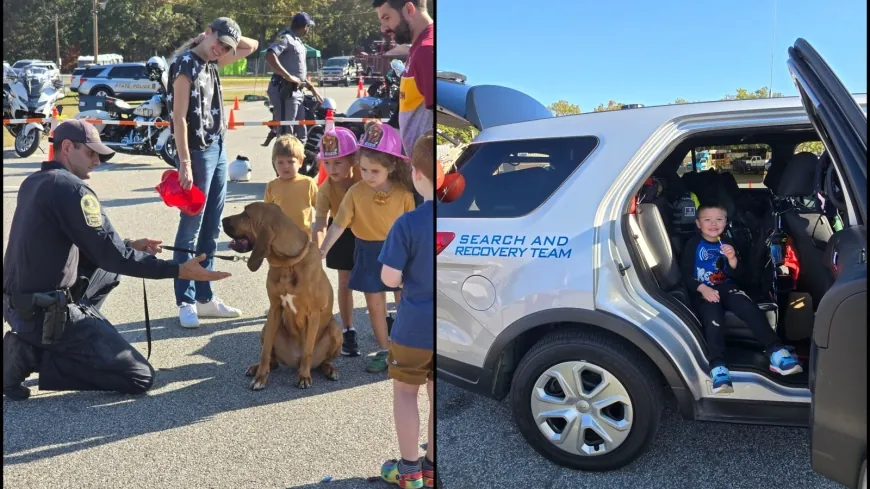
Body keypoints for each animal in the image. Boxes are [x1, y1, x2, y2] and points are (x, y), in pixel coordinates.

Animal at [223, 202, 342, 388]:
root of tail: (294, 361)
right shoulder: (274, 309)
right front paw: (261, 377)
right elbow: (265, 351)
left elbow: (308, 350)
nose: (222, 220)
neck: (288, 263)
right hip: (266, 327)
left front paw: (304, 377)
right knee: (273, 360)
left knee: (323, 360)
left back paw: (329, 370)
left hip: (336, 329)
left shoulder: (313, 314)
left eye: (246, 215)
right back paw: (256, 368)